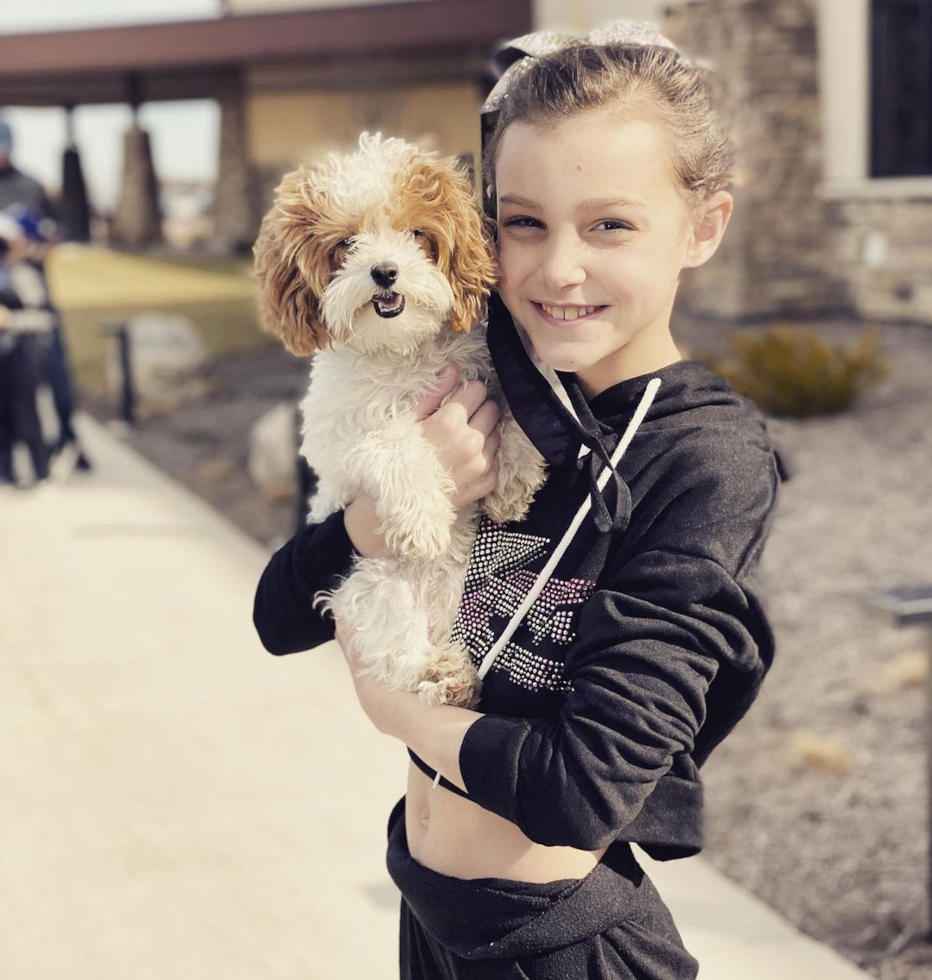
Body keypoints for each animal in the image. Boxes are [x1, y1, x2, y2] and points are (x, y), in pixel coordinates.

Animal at [255, 134, 548, 708]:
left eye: (416, 234)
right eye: (347, 243)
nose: (385, 271)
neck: (402, 352)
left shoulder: (481, 371)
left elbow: (511, 402)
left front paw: (515, 474)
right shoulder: (335, 438)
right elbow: (390, 440)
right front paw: (423, 516)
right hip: (372, 584)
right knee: (396, 651)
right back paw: (441, 673)